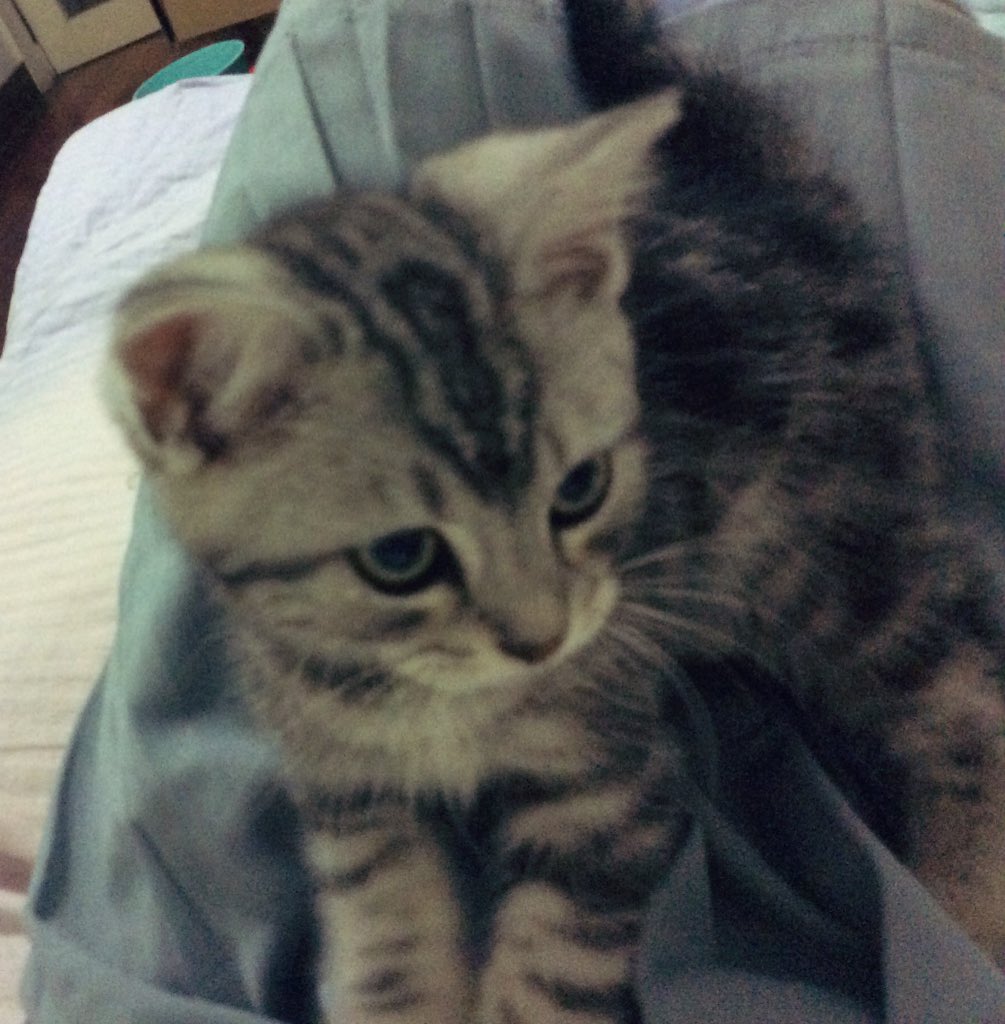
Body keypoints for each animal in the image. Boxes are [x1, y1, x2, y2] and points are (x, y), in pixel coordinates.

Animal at [102, 0, 1005, 1020]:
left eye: (579, 491)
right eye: (401, 557)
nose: (542, 641)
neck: (429, 695)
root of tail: (764, 195)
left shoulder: (610, 778)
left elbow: (550, 962)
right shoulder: (345, 785)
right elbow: (386, 943)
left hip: (822, 551)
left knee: (960, 685)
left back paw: (966, 911)